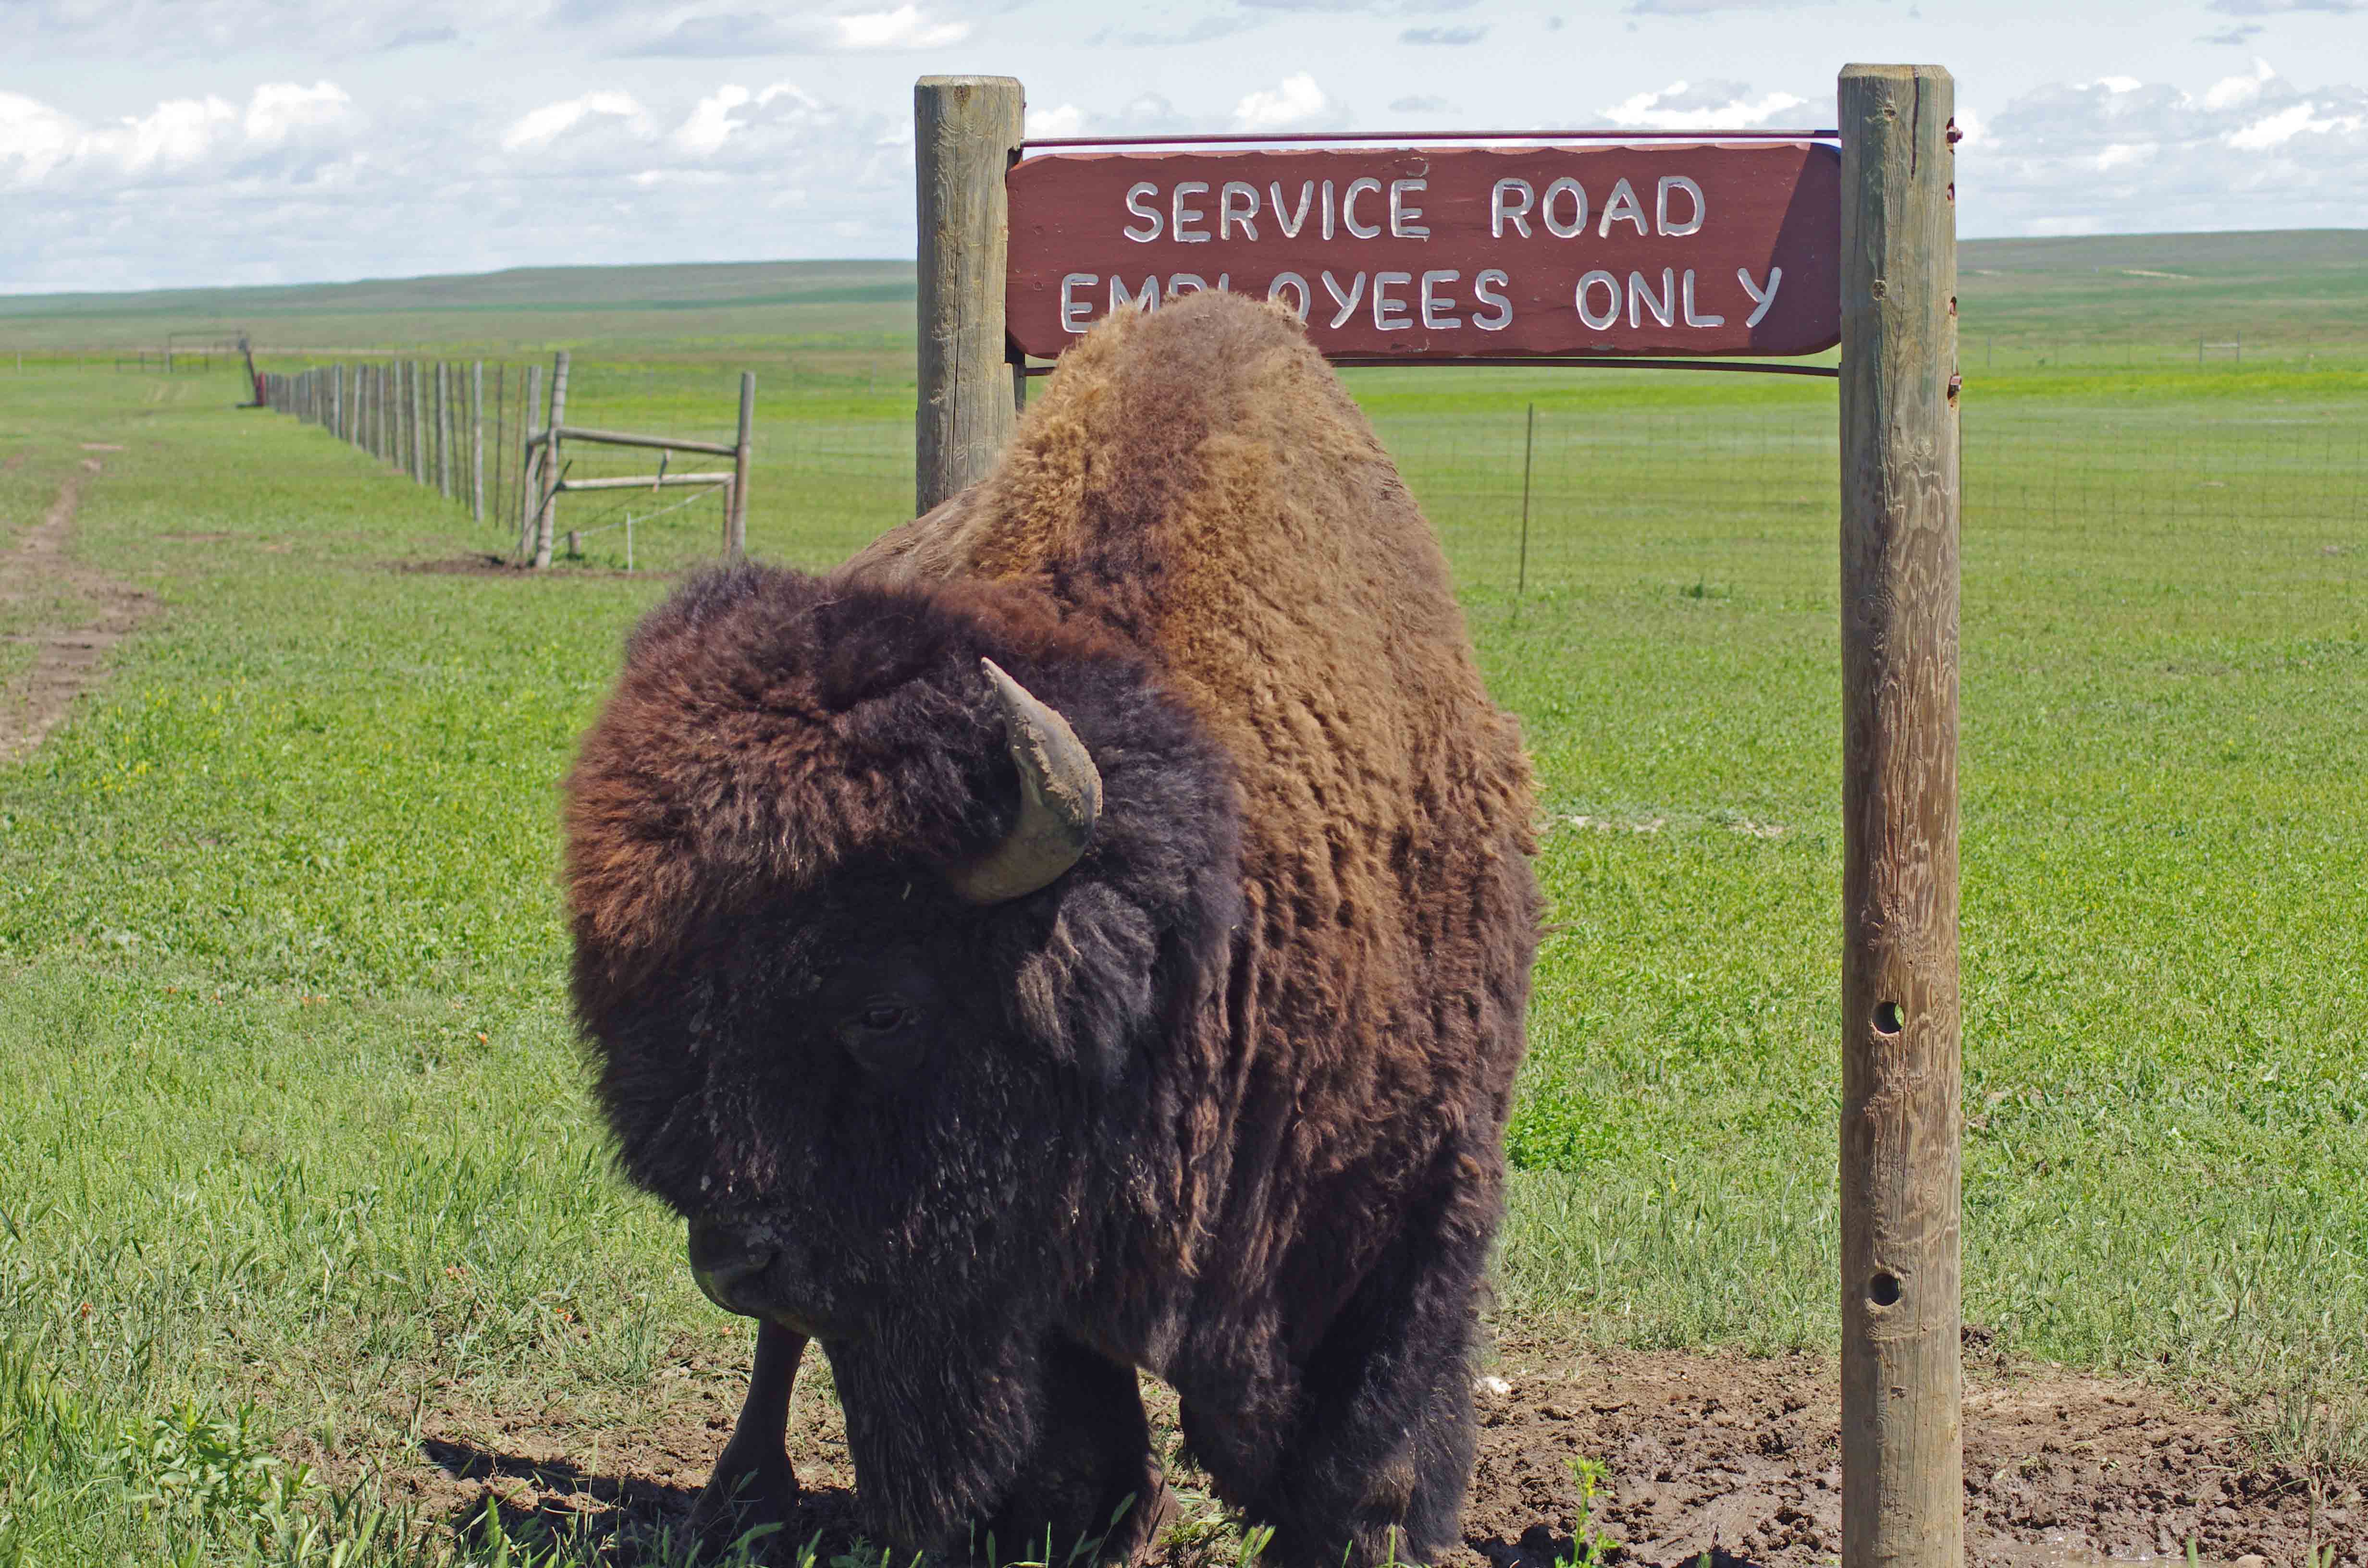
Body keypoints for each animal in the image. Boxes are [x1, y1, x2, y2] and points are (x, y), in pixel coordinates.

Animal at [566, 294, 1544, 1568]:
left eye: (885, 1005)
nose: (732, 1260)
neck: (1204, 929)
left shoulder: (1424, 1166)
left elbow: (1382, 1401)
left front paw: (1369, 1529)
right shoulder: (1014, 1260)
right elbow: (1062, 1399)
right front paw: (1078, 1520)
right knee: (791, 1350)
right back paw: (746, 1493)